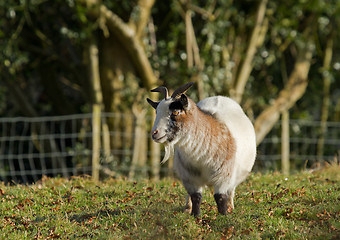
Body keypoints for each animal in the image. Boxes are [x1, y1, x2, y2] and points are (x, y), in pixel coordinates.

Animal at [146, 81, 255, 217]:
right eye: (157, 112)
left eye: (175, 112)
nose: (154, 133)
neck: (201, 158)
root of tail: (220, 97)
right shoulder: (189, 176)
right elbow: (196, 196)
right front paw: (195, 215)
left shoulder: (224, 176)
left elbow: (220, 197)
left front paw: (224, 214)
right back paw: (187, 208)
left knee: (231, 189)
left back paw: (230, 206)